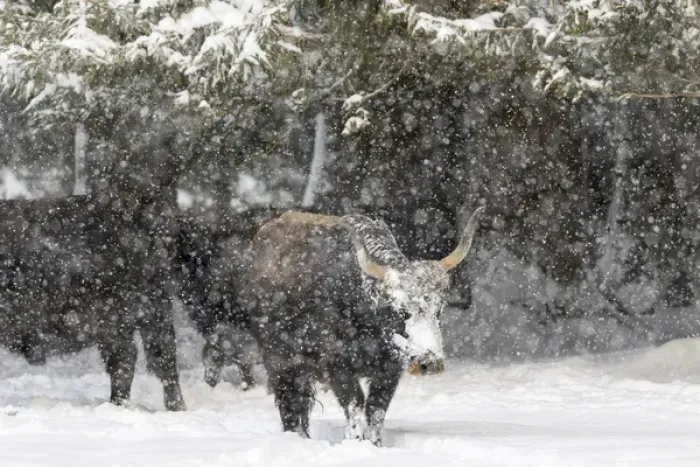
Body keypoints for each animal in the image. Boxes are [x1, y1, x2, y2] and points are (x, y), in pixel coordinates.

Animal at [239, 207, 484, 446]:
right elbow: (355, 403)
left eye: (439, 309)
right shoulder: (338, 366)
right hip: (279, 360)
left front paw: (374, 444)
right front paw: (355, 441)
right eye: (401, 310)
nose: (429, 362)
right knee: (288, 402)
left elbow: (376, 409)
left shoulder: (390, 370)